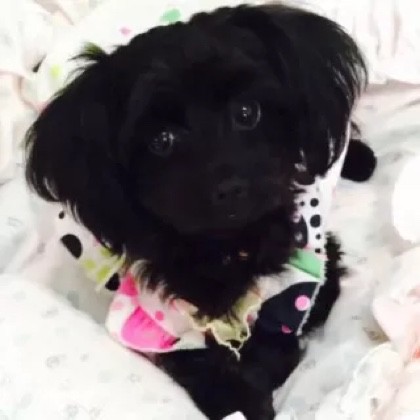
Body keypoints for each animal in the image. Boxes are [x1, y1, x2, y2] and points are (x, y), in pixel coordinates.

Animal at [25, 4, 377, 419]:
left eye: (247, 112)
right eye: (161, 140)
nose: (230, 188)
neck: (223, 250)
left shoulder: (312, 273)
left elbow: (272, 336)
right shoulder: (156, 313)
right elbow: (196, 360)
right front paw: (236, 399)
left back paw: (361, 159)